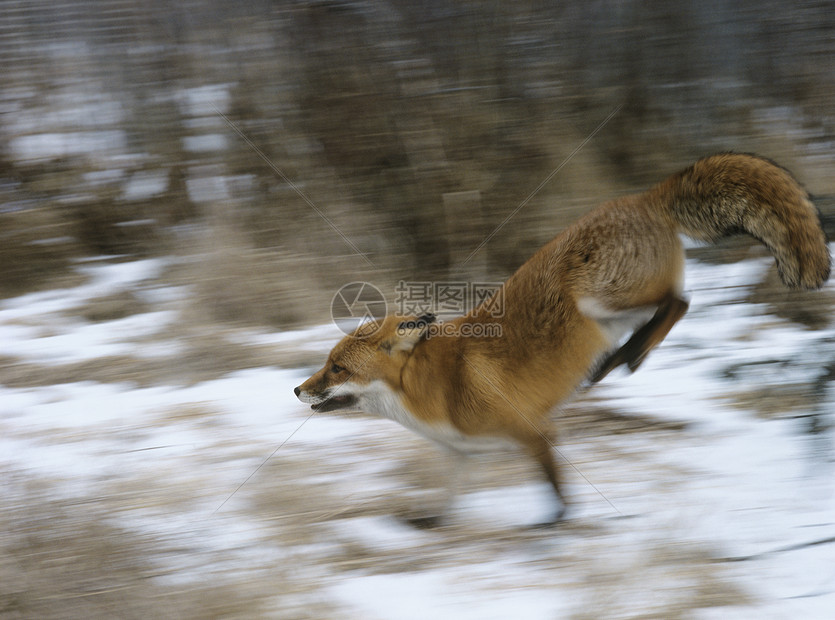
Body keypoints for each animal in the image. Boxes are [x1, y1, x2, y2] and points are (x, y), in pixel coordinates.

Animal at [294, 153, 828, 524]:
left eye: (337, 368)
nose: (297, 389)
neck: (431, 392)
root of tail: (642, 198)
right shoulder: (463, 455)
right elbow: (448, 502)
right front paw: (429, 525)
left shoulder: (534, 432)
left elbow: (555, 487)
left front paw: (556, 528)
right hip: (610, 308)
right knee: (675, 304)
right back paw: (626, 356)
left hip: (598, 301)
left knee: (679, 301)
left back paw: (626, 357)